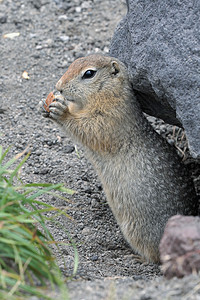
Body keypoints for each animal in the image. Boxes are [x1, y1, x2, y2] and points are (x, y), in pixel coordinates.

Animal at [39, 54, 198, 262]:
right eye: (74, 62)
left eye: (89, 73)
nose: (59, 86)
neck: (107, 94)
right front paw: (46, 104)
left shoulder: (111, 116)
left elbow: (91, 128)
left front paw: (61, 110)